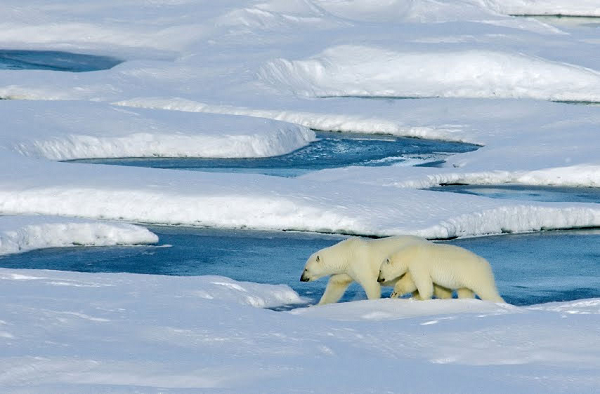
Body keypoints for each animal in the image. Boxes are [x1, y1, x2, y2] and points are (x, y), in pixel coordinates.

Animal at [298, 234, 450, 304]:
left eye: (306, 269)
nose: (301, 278)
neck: (346, 254)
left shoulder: (361, 263)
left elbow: (371, 284)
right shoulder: (346, 270)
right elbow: (335, 285)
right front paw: (318, 305)